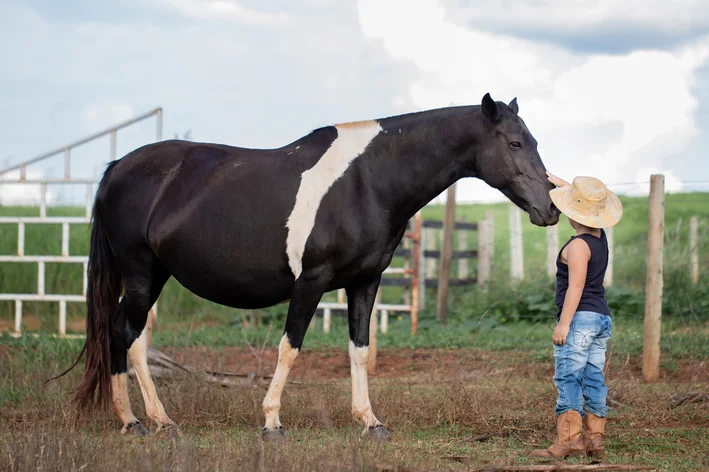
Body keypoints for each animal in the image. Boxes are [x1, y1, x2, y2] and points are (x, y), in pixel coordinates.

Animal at [59, 93, 560, 442]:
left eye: (535, 141)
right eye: (515, 142)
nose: (550, 210)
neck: (367, 181)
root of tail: (118, 167)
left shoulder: (364, 282)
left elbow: (359, 350)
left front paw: (370, 422)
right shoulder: (310, 282)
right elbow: (290, 348)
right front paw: (272, 424)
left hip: (154, 275)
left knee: (128, 335)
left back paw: (145, 420)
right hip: (141, 274)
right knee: (125, 334)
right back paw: (145, 422)